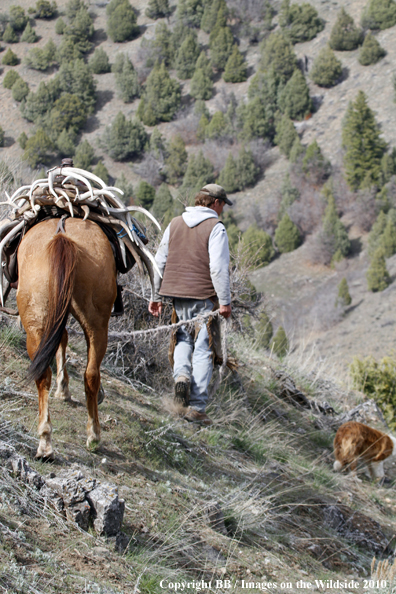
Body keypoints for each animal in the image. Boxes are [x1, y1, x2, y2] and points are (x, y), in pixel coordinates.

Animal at [17, 217, 116, 458]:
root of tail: (62, 236)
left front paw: (63, 389)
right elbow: (62, 339)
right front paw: (63, 389)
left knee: (46, 373)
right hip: (95, 323)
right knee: (90, 373)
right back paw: (85, 437)